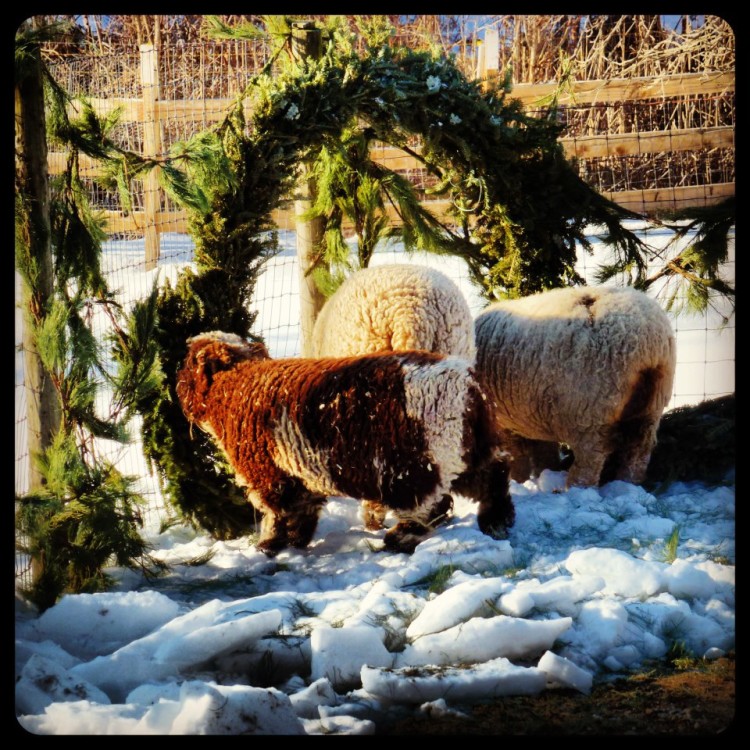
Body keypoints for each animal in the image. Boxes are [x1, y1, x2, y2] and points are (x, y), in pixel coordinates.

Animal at [176, 331, 515, 556]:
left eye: (188, 366)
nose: (177, 392)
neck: (235, 386)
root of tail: (470, 388)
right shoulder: (298, 471)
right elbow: (304, 506)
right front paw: (297, 540)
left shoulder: (267, 471)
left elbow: (277, 511)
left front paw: (270, 544)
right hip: (468, 449)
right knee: (493, 477)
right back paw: (497, 521)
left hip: (419, 465)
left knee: (432, 507)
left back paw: (400, 538)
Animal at [474, 285, 676, 488]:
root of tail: (646, 340)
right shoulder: (533, 414)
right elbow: (543, 453)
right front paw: (544, 474)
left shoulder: (505, 422)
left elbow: (518, 457)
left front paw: (518, 481)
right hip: (651, 405)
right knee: (638, 452)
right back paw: (627, 484)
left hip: (590, 410)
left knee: (590, 459)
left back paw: (575, 487)